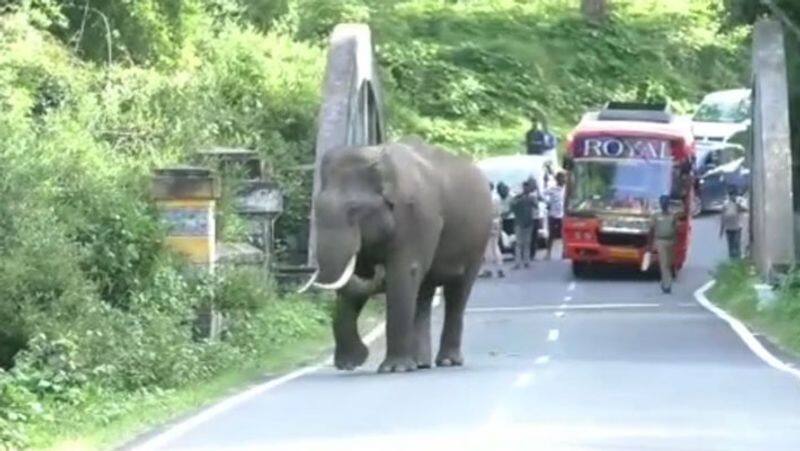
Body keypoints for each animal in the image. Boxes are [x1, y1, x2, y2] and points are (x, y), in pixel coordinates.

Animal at [298, 137, 490, 374]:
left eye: (354, 209)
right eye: (316, 211)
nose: (378, 269)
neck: (375, 155)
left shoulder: (416, 217)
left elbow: (404, 273)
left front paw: (393, 369)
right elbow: (356, 284)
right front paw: (349, 364)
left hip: (478, 243)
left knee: (458, 292)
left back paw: (446, 361)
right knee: (424, 294)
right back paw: (420, 363)